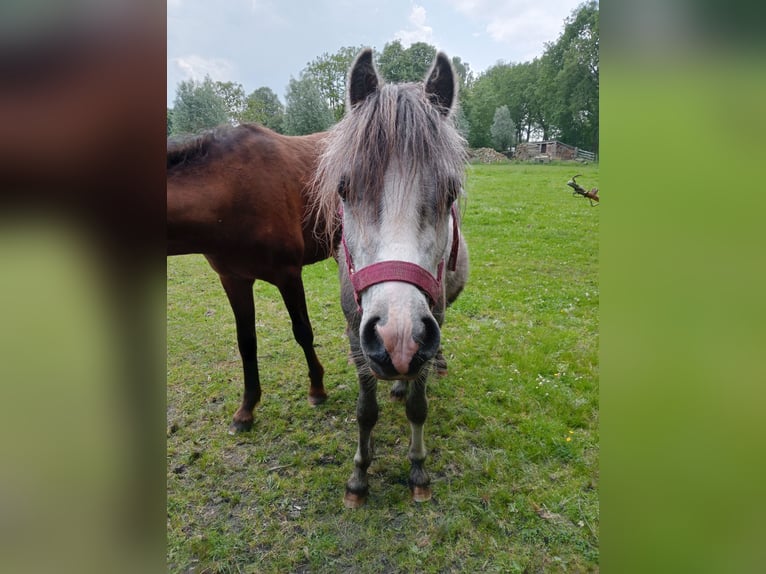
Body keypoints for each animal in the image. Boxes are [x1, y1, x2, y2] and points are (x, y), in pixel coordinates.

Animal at [168, 124, 336, 434]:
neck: (231, 189)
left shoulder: (288, 275)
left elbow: (303, 331)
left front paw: (317, 389)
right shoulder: (234, 279)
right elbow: (246, 342)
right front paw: (246, 410)